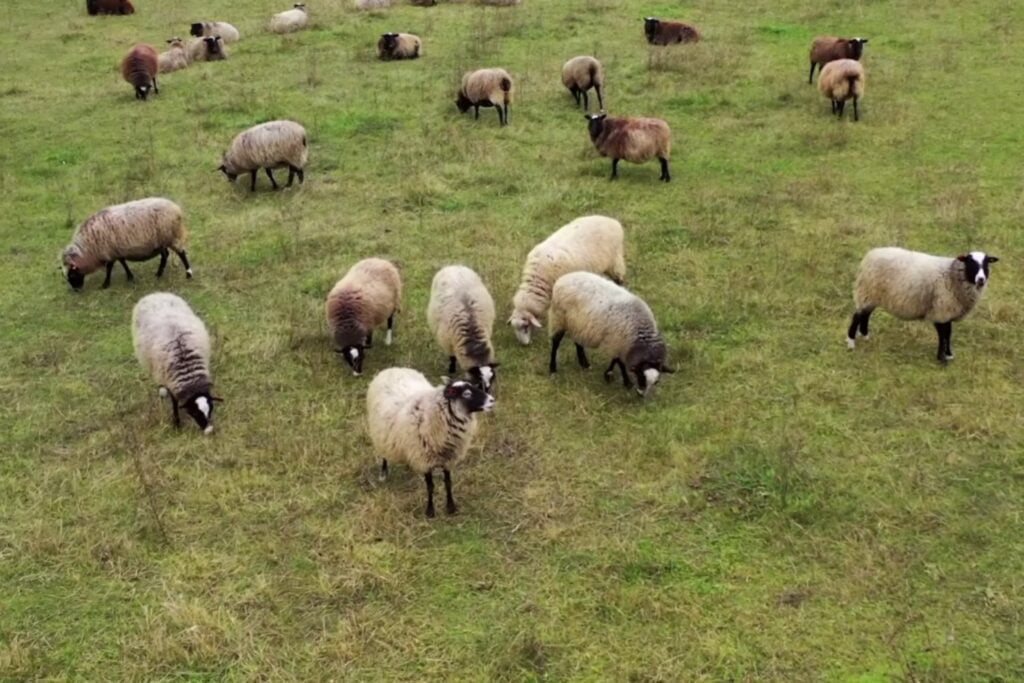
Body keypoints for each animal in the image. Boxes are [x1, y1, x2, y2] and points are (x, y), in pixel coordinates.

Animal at [61, 197, 192, 291]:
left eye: (72, 275)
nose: (76, 290)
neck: (89, 249)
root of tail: (177, 209)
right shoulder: (117, 251)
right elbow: (123, 262)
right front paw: (129, 277)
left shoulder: (109, 252)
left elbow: (109, 268)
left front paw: (105, 284)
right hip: (160, 242)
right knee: (165, 255)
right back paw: (158, 274)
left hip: (170, 236)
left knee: (181, 253)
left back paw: (188, 274)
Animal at [133, 293, 221, 434]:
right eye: (194, 413)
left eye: (210, 409)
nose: (209, 430)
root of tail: (155, 294)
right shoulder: (170, 381)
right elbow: (174, 402)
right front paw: (177, 423)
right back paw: (162, 390)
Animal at [367, 368, 495, 517]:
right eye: (466, 394)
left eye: (474, 386)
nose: (492, 400)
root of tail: (392, 369)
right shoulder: (425, 460)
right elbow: (430, 486)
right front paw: (430, 511)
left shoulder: (448, 459)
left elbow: (448, 483)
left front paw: (451, 507)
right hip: (381, 434)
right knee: (384, 454)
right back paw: (383, 473)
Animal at [509, 215, 626, 345]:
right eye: (515, 328)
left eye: (526, 326)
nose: (524, 344)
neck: (538, 278)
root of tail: (612, 221)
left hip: (615, 259)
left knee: (619, 278)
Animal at [847, 248, 999, 363]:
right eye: (971, 263)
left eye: (986, 264)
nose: (981, 279)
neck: (952, 275)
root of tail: (871, 254)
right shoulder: (941, 310)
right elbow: (943, 335)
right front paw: (942, 358)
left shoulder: (947, 312)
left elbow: (948, 334)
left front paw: (949, 355)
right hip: (866, 291)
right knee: (857, 316)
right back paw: (851, 343)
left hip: (871, 295)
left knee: (866, 314)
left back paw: (865, 336)